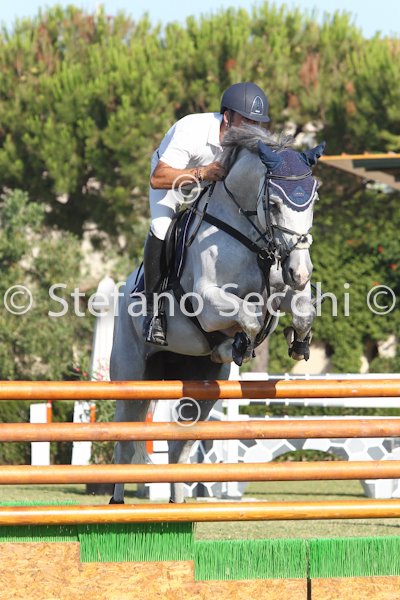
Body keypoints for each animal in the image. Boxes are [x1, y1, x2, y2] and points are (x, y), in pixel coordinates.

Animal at [109, 124, 325, 504]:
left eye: (312, 201)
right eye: (273, 204)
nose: (301, 272)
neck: (250, 236)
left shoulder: (279, 292)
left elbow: (298, 309)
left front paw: (298, 342)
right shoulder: (207, 304)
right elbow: (249, 316)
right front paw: (243, 344)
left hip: (201, 385)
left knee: (179, 443)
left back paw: (177, 504)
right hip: (132, 377)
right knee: (125, 439)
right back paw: (116, 503)